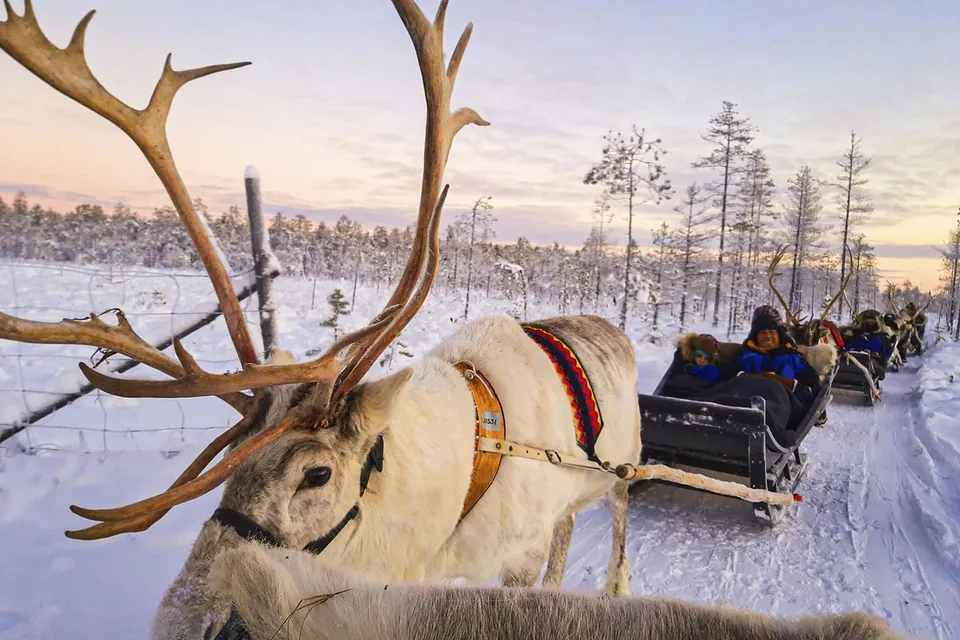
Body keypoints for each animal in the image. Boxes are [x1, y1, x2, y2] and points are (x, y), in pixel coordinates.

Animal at [0, 3, 873, 639]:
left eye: (315, 473)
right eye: (229, 466)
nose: (184, 621)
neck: (447, 500)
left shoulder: (510, 556)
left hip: (624, 472)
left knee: (617, 527)